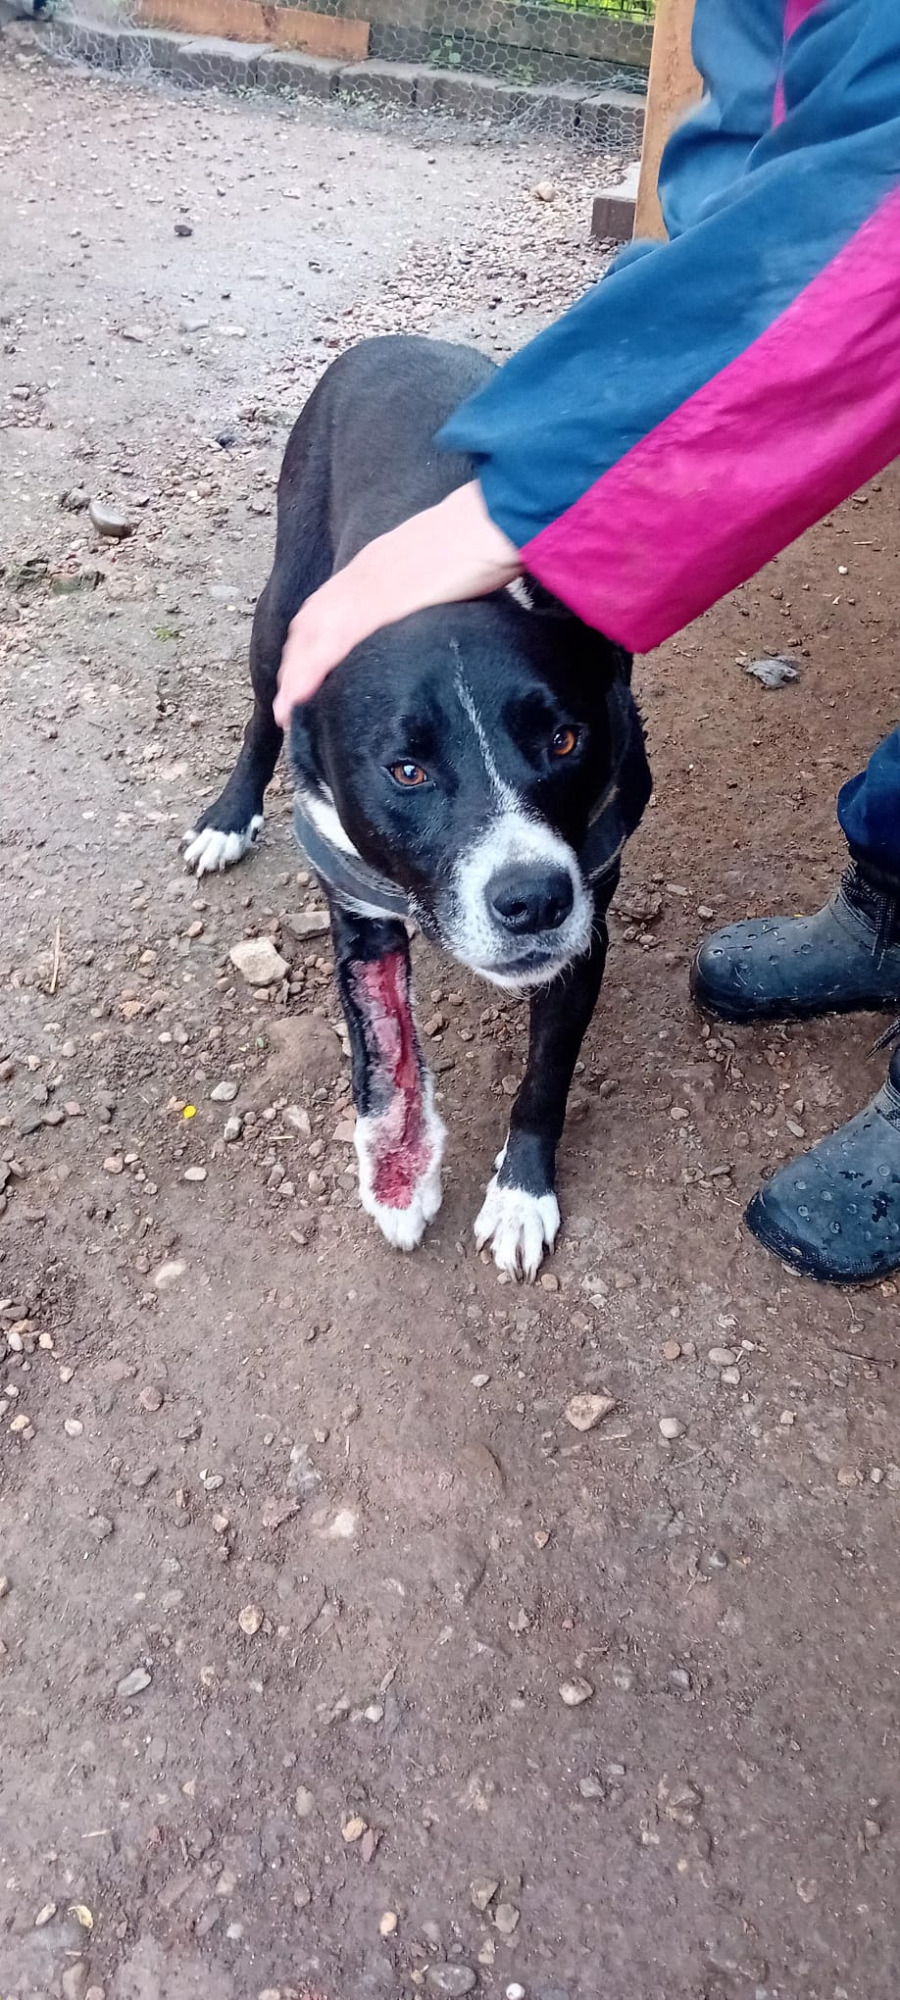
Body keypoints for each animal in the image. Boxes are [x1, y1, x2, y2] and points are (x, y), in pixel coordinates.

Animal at [185, 336, 650, 1278]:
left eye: (565, 741)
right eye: (406, 771)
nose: (533, 900)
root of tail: (391, 340)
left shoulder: (588, 924)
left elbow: (547, 1072)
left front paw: (520, 1194)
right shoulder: (357, 902)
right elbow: (380, 1047)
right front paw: (397, 1180)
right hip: (280, 609)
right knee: (261, 710)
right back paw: (228, 814)